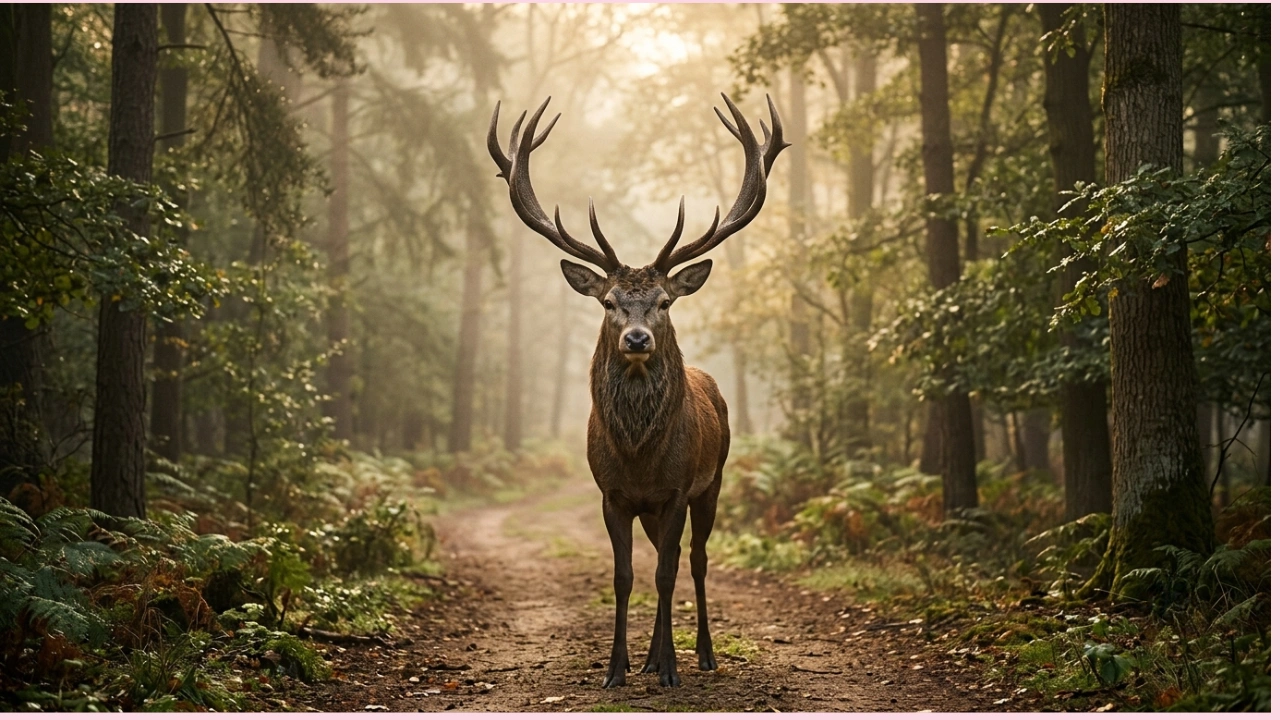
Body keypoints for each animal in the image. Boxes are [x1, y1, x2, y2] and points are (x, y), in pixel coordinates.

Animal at [487, 93, 786, 688]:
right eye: (609, 301)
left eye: (665, 301)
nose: (637, 338)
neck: (640, 454)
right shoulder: (613, 495)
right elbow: (625, 575)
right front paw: (618, 668)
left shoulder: (675, 490)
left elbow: (667, 574)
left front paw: (670, 668)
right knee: (661, 561)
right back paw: (649, 656)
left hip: (713, 482)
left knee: (695, 560)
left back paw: (703, 654)